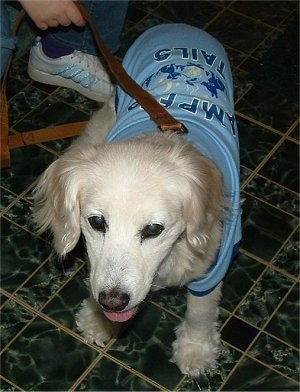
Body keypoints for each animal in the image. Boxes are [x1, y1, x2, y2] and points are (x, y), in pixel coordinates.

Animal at [32, 23, 241, 376]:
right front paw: (98, 322)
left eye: (154, 230)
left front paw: (195, 350)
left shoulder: (214, 266)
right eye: (96, 222)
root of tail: (178, 25)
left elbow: (201, 309)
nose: (113, 302)